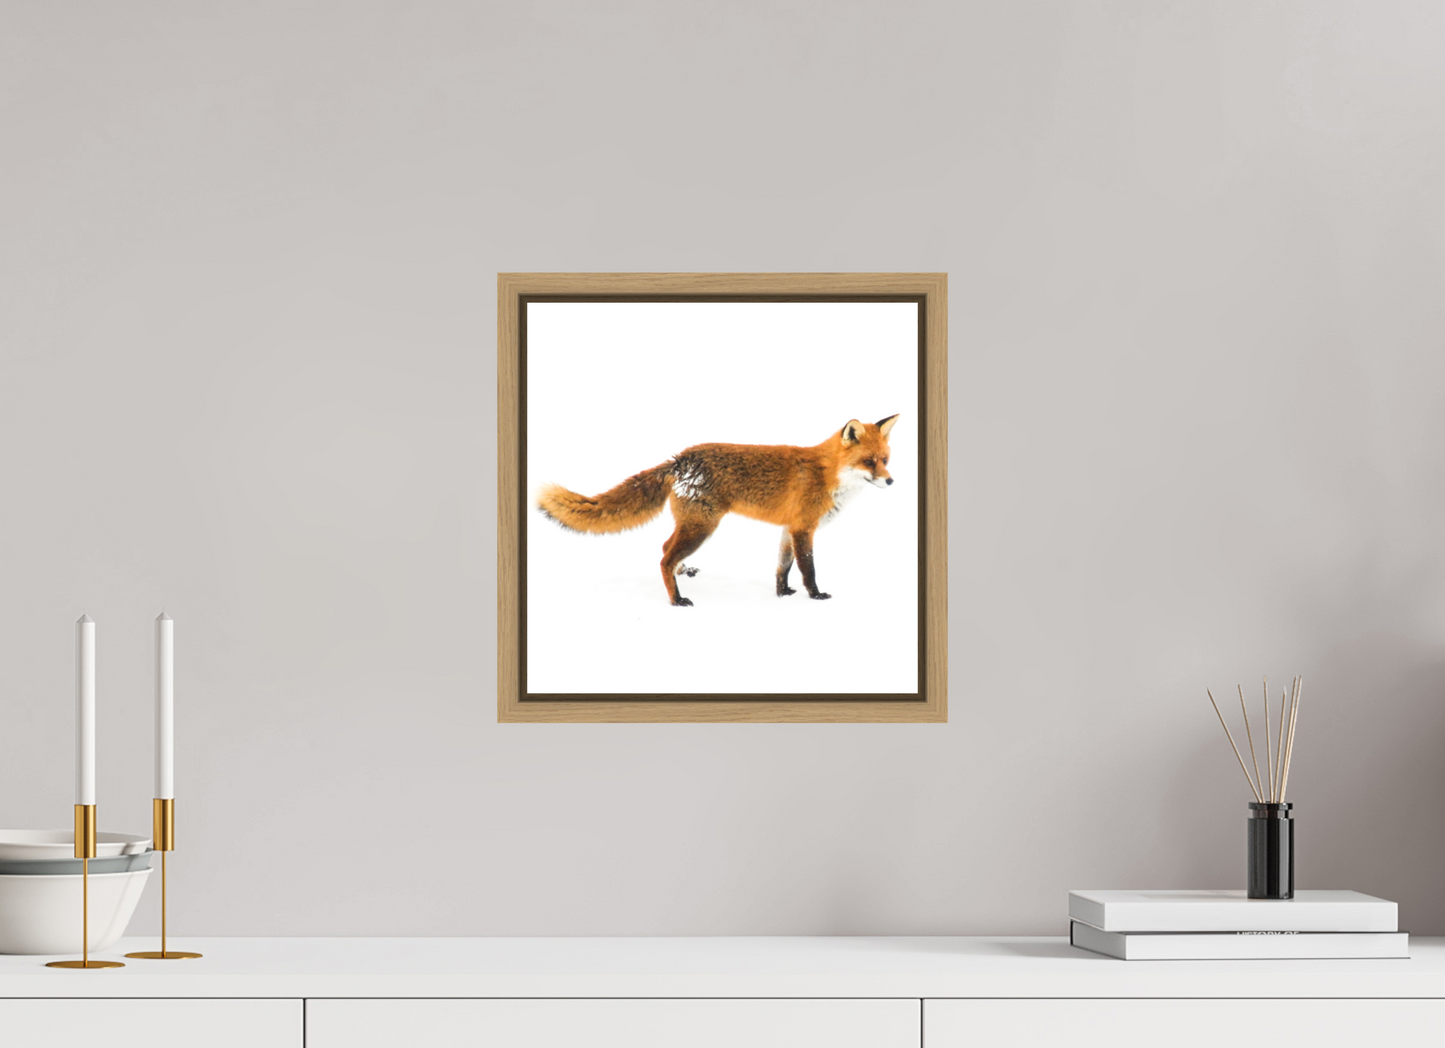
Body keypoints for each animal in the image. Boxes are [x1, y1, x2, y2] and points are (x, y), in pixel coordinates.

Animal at [537, 414, 899, 606]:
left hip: (695, 525)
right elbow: (808, 569)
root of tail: (679, 460)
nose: (891, 481)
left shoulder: (788, 529)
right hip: (703, 527)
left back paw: (684, 574)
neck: (827, 475)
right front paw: (816, 596)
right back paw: (676, 600)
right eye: (869, 462)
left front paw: (782, 594)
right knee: (665, 557)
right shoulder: (803, 529)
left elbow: (782, 567)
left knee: (665, 548)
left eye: (885, 459)